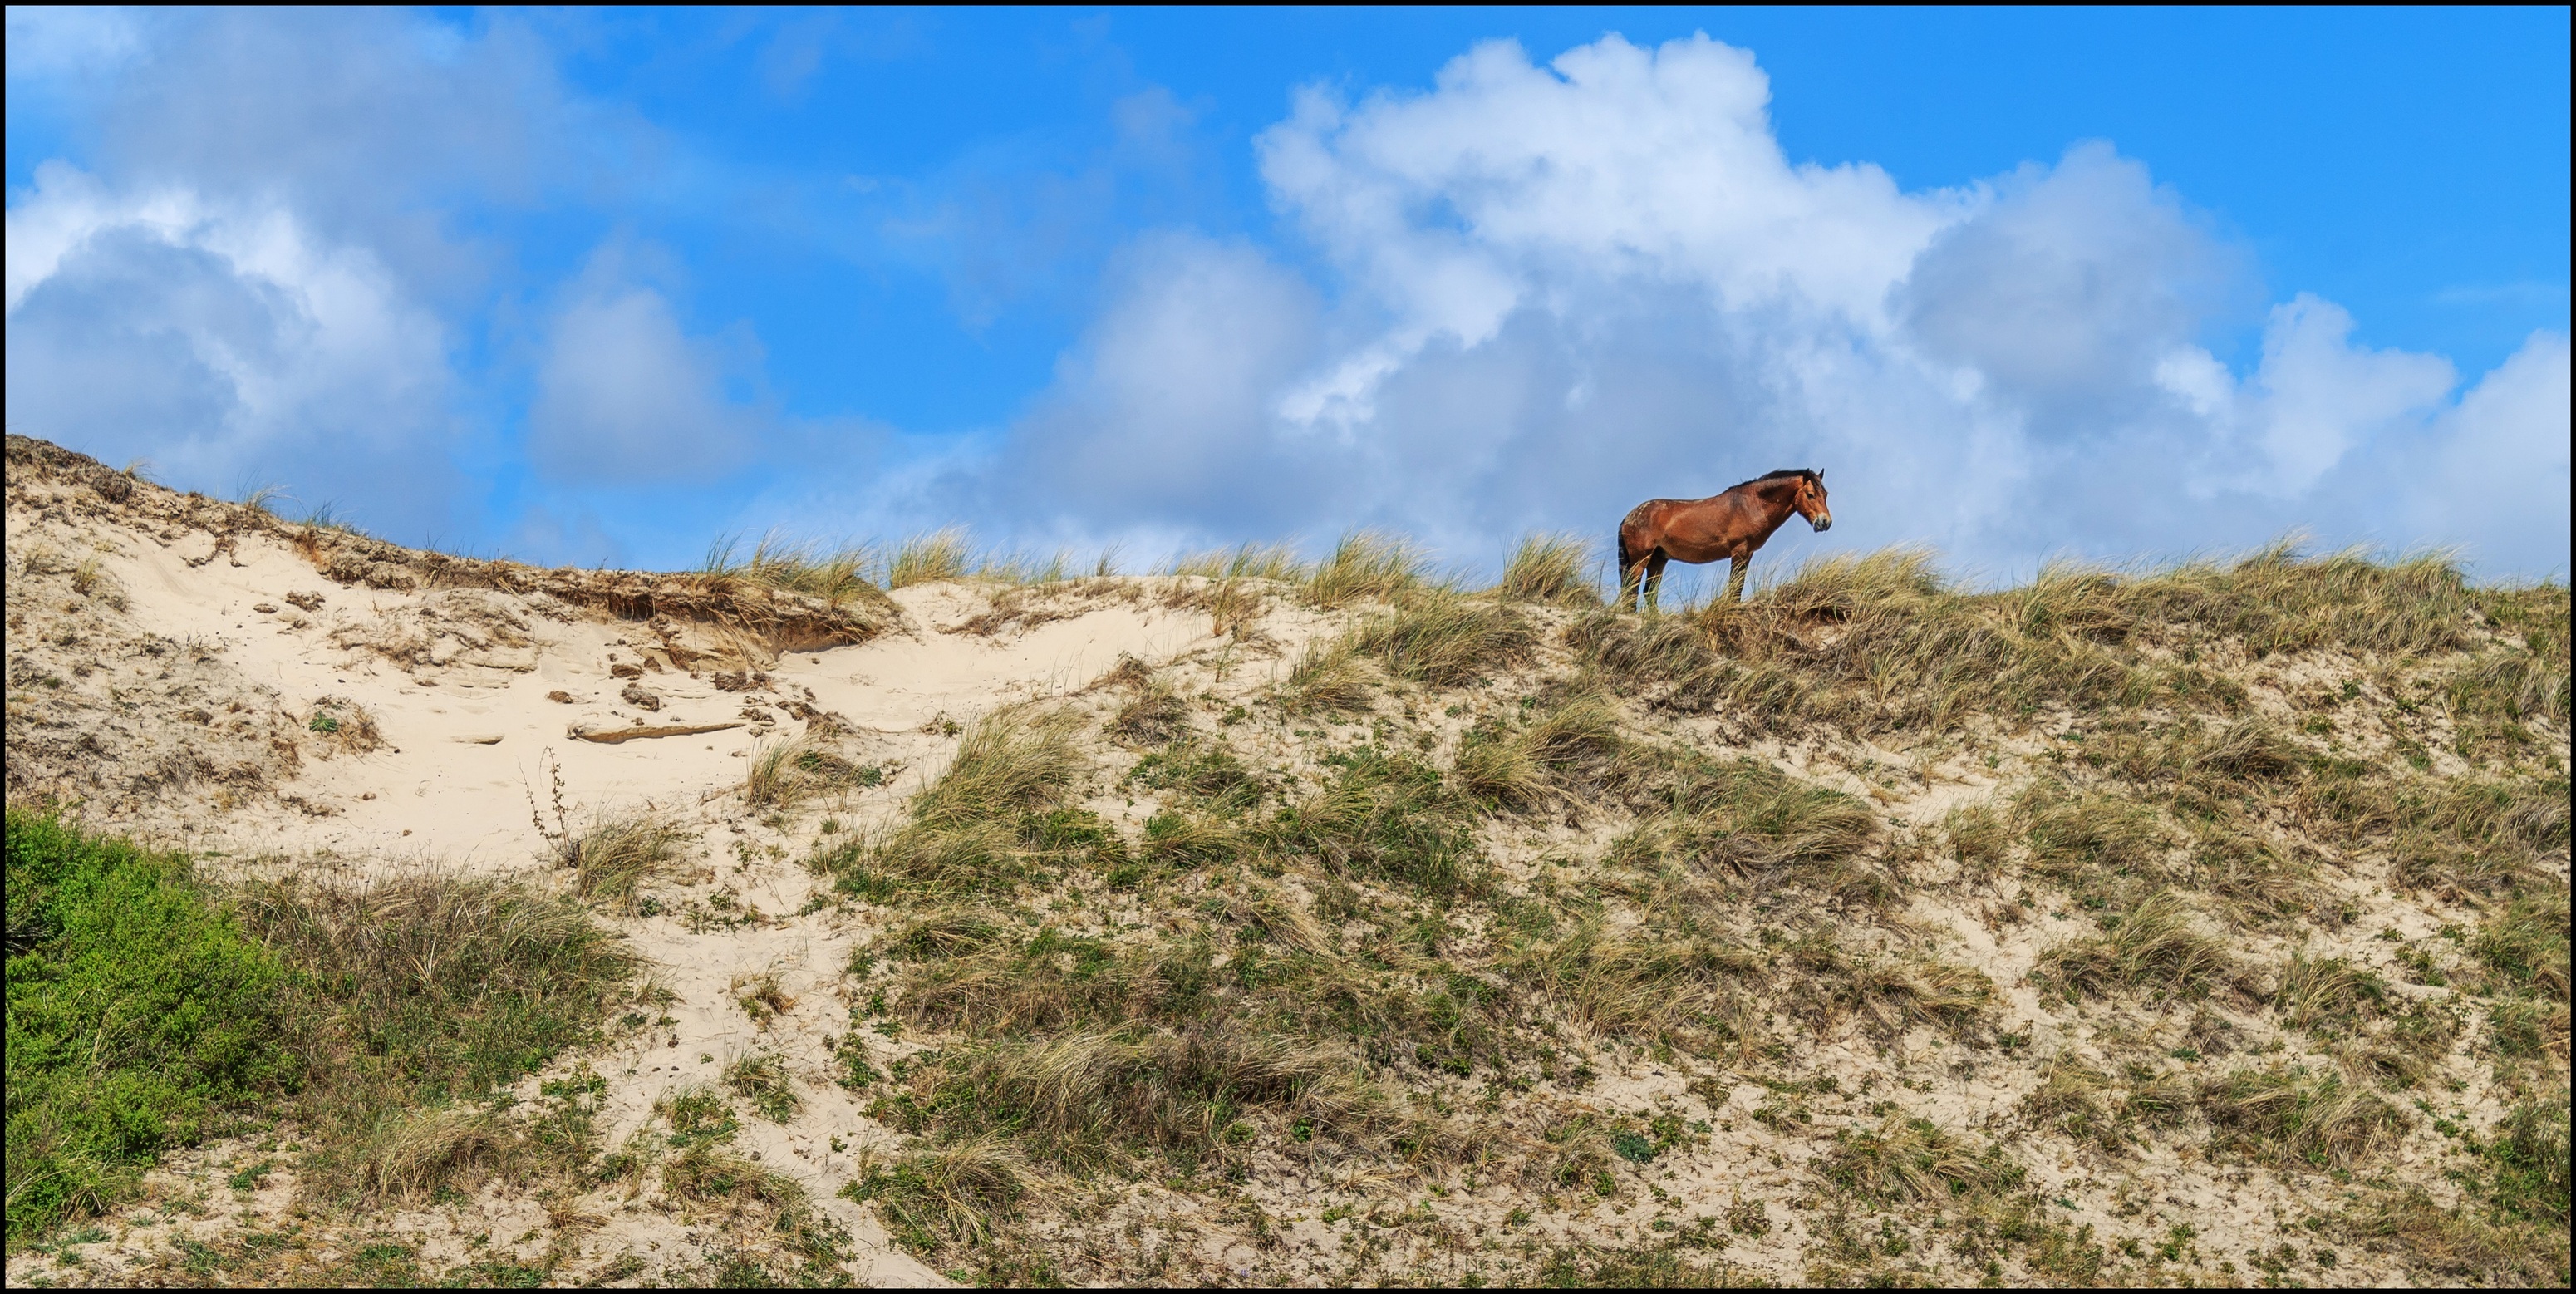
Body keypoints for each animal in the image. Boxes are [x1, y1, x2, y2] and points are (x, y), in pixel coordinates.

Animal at [1616, 469, 1833, 612]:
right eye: (1810, 495)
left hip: (1658, 559)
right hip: (1641, 559)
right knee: (1631, 590)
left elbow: (1738, 585)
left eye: (1826, 495)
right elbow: (1735, 587)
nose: (1825, 522)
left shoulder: (1747, 554)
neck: (1751, 505)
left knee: (1649, 592)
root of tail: (1628, 517)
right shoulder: (1739, 551)